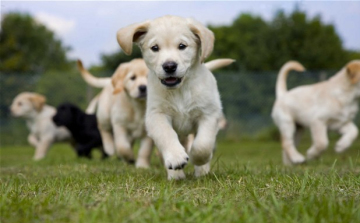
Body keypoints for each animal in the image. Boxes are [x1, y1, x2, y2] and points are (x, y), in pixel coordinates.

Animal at [116, 15, 225, 179]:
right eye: (155, 48)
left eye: (182, 46)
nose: (169, 66)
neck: (179, 90)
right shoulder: (156, 115)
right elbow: (166, 135)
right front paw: (175, 158)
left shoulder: (209, 114)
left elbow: (203, 144)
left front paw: (197, 159)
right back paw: (176, 174)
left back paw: (202, 171)